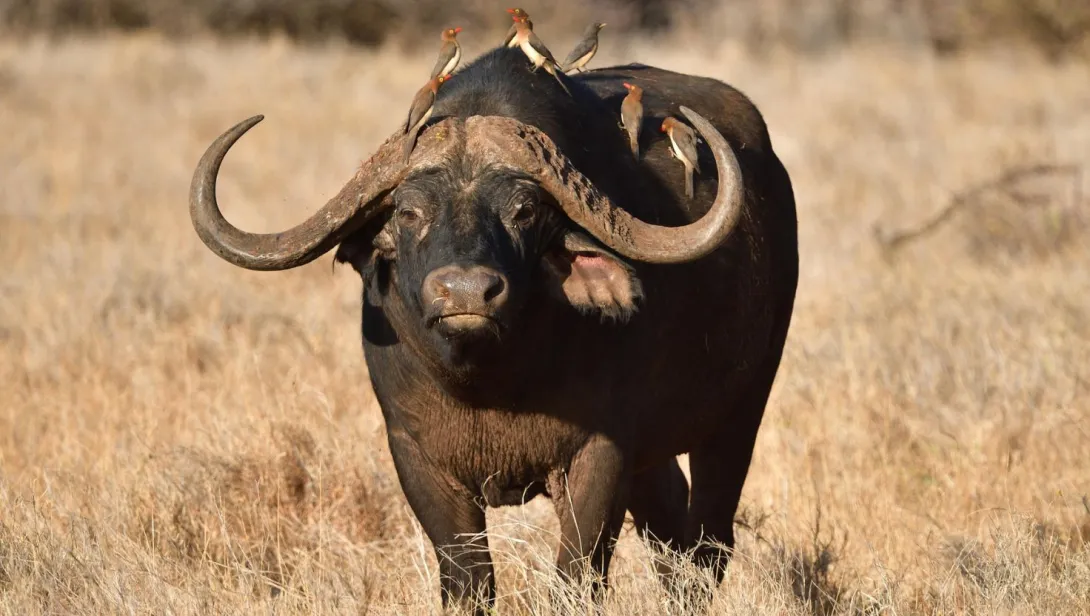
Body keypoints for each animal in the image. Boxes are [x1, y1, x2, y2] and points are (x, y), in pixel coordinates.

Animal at [187, 45, 802, 610]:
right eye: (408, 212)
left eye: (524, 211)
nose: (466, 292)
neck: (493, 384)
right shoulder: (418, 459)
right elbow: (469, 582)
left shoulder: (601, 456)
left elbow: (576, 579)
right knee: (673, 534)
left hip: (740, 412)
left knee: (710, 541)